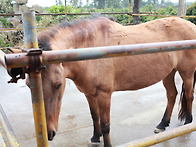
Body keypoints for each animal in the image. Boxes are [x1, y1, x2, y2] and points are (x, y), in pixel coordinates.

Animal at [28, 16, 196, 146]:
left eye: (58, 85)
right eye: (29, 85)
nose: (49, 133)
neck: (90, 48)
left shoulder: (104, 94)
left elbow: (105, 125)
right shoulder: (89, 94)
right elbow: (94, 117)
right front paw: (95, 138)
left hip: (187, 73)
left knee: (189, 95)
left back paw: (188, 122)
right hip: (168, 73)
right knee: (172, 95)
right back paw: (162, 124)